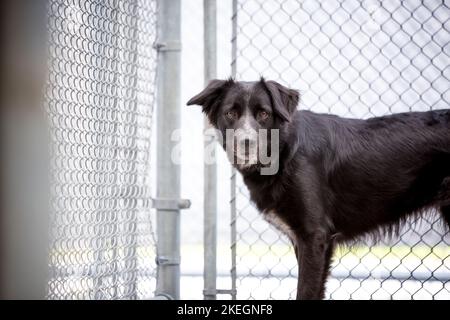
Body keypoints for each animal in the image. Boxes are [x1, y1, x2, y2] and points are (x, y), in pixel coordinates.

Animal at [186, 78, 450, 300]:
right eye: (231, 113)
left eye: (263, 113)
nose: (246, 143)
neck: (284, 153)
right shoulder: (306, 241)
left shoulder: (314, 237)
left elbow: (305, 291)